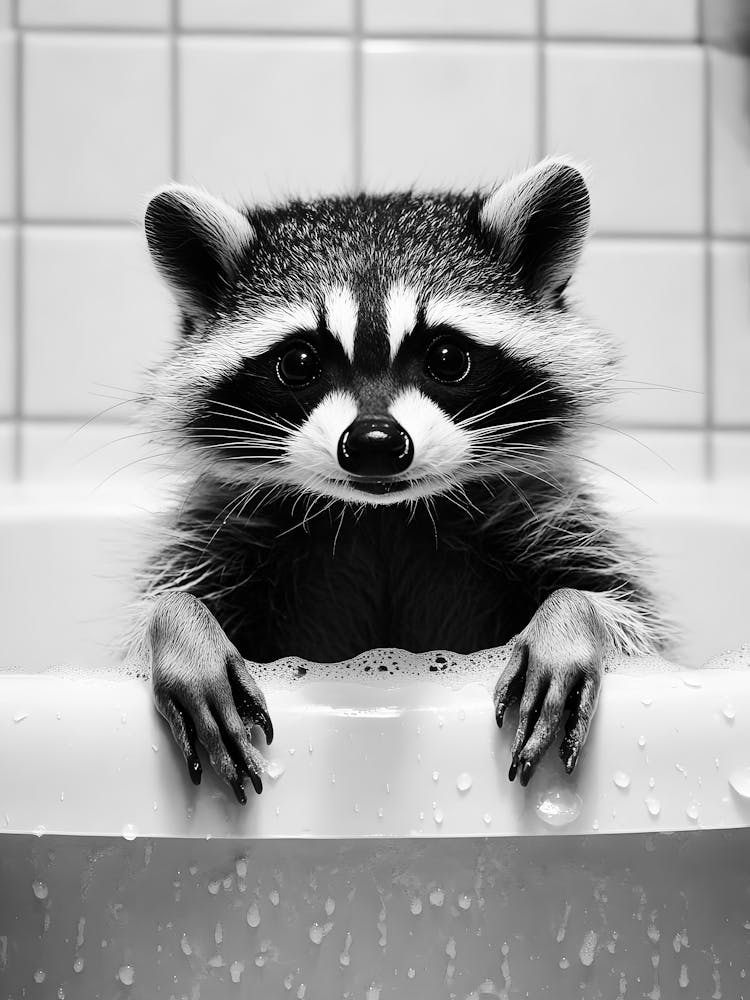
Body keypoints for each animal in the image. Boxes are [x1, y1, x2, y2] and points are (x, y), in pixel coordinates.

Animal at [132, 158, 668, 804]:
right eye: (300, 363)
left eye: (447, 358)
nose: (374, 444)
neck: (381, 516)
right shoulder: (223, 529)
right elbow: (165, 601)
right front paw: (181, 624)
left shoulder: (548, 514)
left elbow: (633, 624)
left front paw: (573, 615)